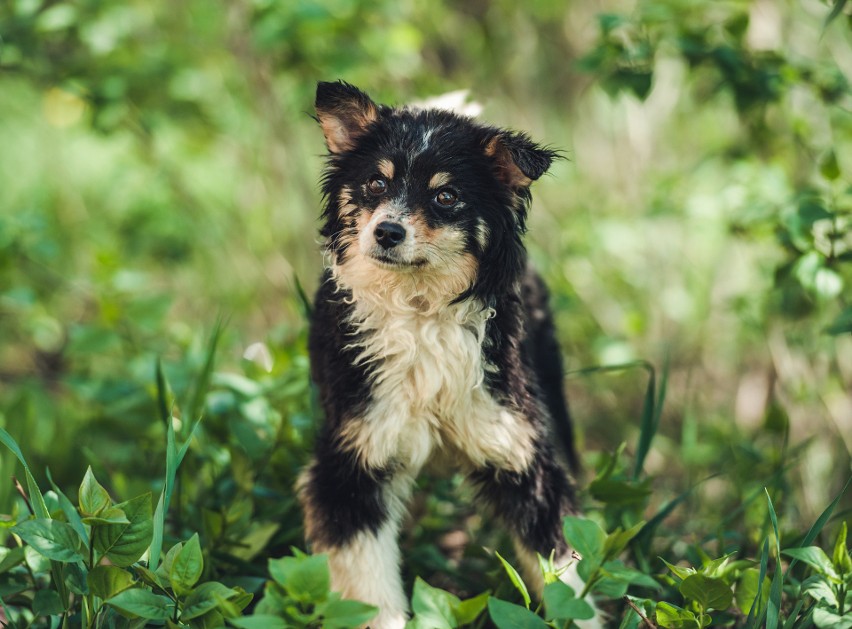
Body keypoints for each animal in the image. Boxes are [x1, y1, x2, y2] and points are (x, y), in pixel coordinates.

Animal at [298, 81, 584, 624]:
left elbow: (563, 575)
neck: (419, 310)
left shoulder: (521, 454)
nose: (387, 232)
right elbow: (371, 591)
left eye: (446, 196)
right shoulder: (355, 458)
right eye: (375, 183)